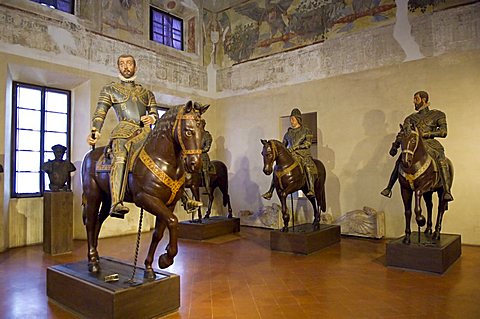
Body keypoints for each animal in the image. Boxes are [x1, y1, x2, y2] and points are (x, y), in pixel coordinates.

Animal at [81, 101, 208, 278]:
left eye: (202, 130)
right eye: (188, 131)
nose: (195, 164)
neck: (163, 159)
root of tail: (89, 155)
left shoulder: (169, 204)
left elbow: (158, 233)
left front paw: (149, 267)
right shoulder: (146, 198)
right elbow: (173, 221)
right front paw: (166, 259)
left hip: (107, 198)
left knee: (98, 221)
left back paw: (95, 256)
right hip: (93, 195)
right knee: (91, 222)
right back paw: (92, 262)